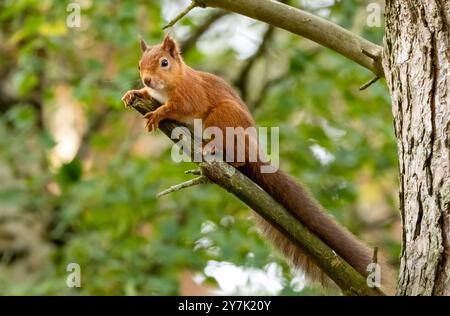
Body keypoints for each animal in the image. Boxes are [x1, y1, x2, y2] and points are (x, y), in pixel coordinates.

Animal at [122, 34, 394, 294]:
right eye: (139, 65)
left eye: (164, 63)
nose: (146, 80)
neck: (172, 83)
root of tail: (252, 150)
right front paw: (134, 94)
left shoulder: (192, 93)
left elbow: (180, 107)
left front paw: (159, 112)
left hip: (224, 117)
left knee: (236, 154)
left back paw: (215, 149)